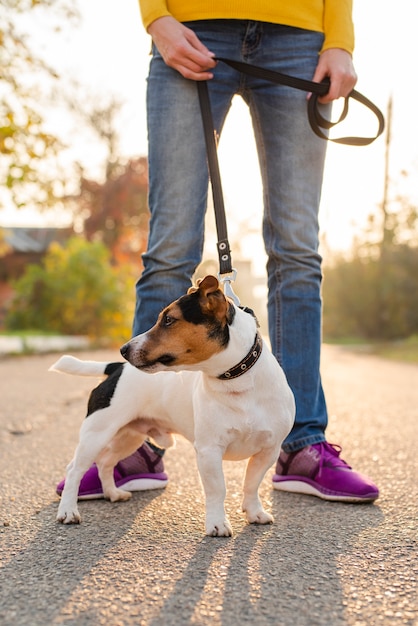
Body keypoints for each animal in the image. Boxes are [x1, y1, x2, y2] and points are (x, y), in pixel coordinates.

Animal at [50, 276, 296, 532]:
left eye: (168, 320)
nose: (123, 349)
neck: (237, 381)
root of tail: (116, 368)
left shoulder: (268, 450)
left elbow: (252, 484)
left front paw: (255, 512)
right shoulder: (209, 451)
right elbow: (217, 490)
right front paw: (217, 523)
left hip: (129, 437)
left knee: (106, 462)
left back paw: (112, 493)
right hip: (97, 434)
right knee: (75, 470)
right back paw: (68, 511)